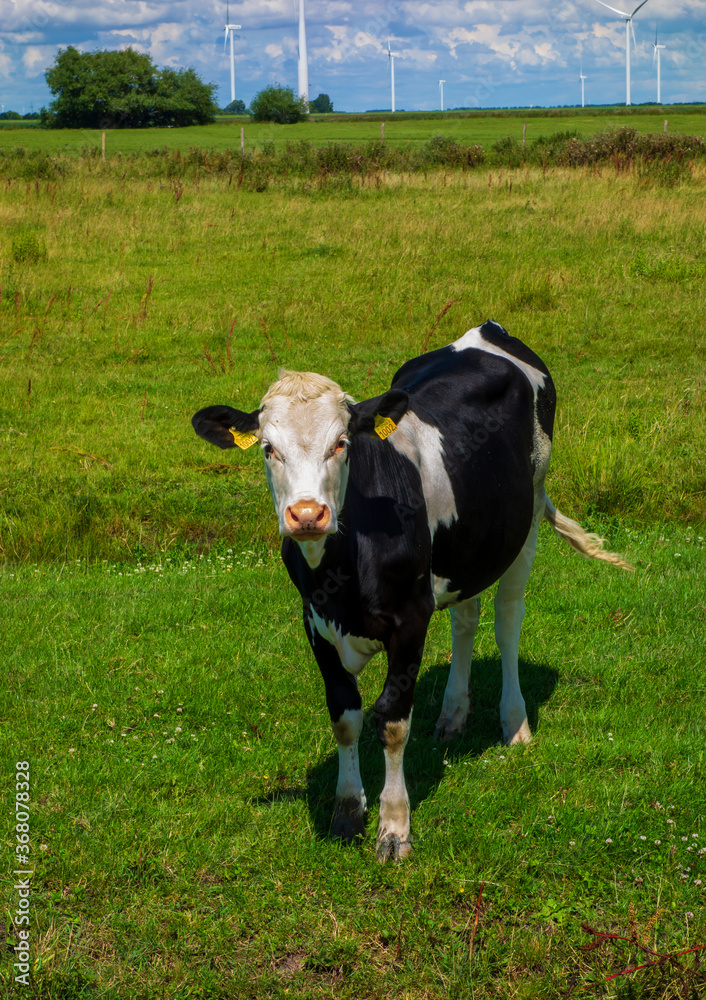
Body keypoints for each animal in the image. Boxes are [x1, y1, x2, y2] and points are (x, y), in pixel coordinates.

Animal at [190, 318, 628, 860]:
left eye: (342, 443)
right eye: (269, 450)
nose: (308, 514)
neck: (343, 573)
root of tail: (488, 329)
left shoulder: (410, 619)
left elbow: (393, 722)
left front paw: (394, 828)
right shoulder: (313, 622)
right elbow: (345, 715)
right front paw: (346, 813)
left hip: (525, 520)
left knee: (507, 622)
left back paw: (515, 724)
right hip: (468, 547)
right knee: (466, 618)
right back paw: (453, 716)